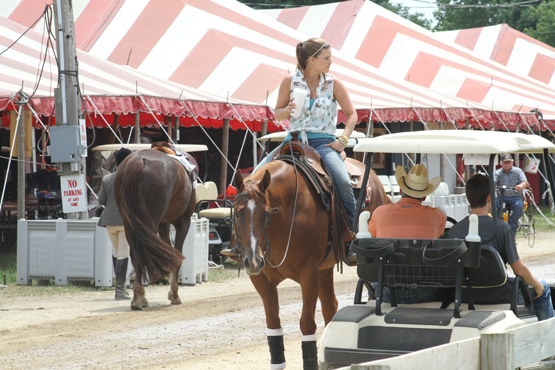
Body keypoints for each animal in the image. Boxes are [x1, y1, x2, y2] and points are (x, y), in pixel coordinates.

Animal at [113, 150, 195, 310]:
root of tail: (138, 160)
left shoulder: (163, 224)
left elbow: (168, 252)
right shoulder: (183, 222)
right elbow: (177, 253)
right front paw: (174, 295)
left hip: (130, 224)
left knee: (137, 254)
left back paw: (138, 298)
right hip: (150, 222)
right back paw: (140, 298)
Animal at [230, 158, 386, 368]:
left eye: (266, 214)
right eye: (237, 213)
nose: (253, 260)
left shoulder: (309, 273)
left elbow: (307, 324)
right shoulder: (261, 278)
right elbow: (273, 325)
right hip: (325, 270)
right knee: (330, 307)